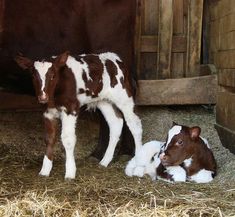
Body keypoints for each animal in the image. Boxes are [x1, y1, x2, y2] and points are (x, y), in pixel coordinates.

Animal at [16, 51, 143, 179]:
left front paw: (70, 173)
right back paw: (104, 161)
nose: (43, 97)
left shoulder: (70, 109)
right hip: (104, 101)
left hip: (125, 98)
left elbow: (68, 139)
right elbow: (49, 138)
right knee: (115, 123)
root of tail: (116, 58)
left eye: (53, 76)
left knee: (135, 125)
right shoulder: (48, 112)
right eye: (33, 77)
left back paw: (138, 161)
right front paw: (45, 170)